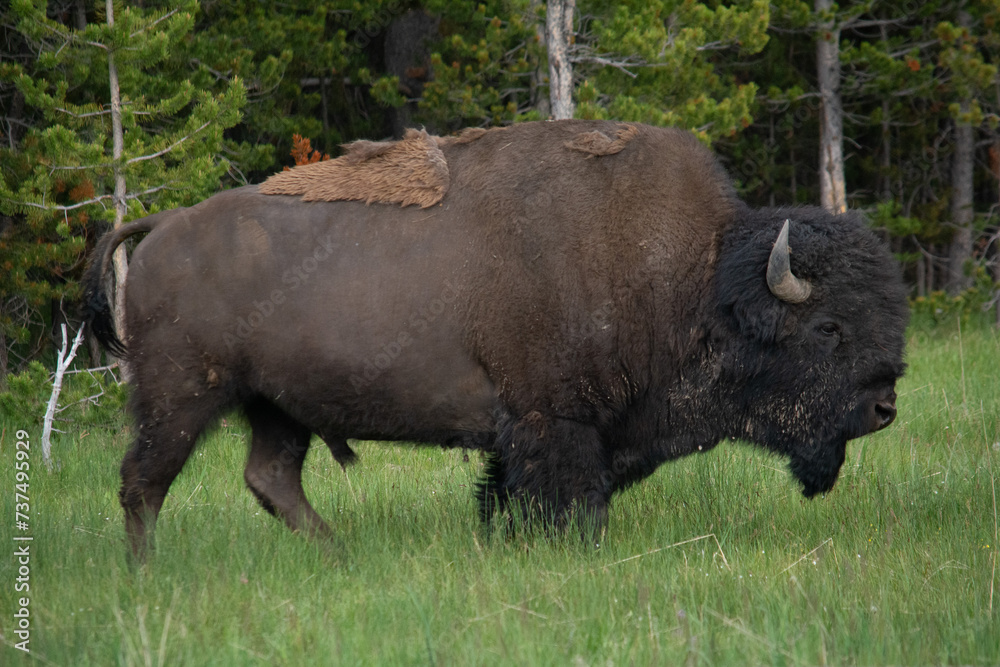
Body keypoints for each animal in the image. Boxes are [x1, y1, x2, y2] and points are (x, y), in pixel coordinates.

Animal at [84, 120, 916, 560]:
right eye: (829, 327)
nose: (885, 407)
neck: (698, 278)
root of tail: (160, 227)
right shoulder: (557, 423)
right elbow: (569, 498)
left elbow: (506, 493)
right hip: (180, 396)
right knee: (143, 480)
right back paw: (145, 571)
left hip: (276, 406)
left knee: (270, 476)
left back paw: (339, 550)